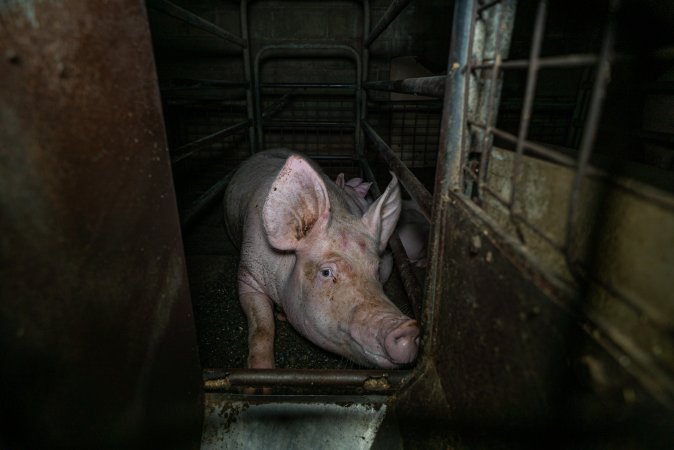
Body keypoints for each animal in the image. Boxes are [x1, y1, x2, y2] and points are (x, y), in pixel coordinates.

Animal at [223, 149, 418, 370]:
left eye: (376, 270)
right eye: (326, 272)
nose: (408, 328)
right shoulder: (248, 272)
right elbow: (263, 326)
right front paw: (261, 374)